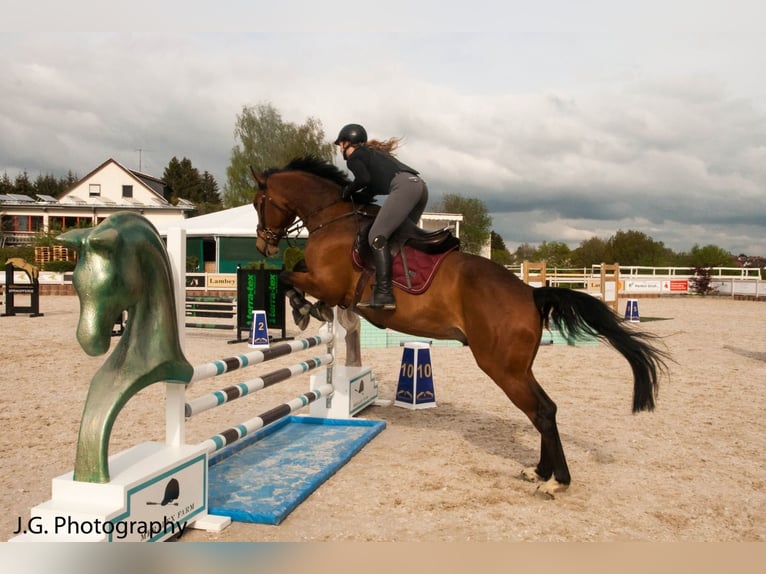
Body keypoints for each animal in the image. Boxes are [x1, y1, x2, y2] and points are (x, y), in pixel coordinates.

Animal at [250, 158, 664, 500]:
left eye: (259, 201)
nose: (263, 244)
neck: (332, 218)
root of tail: (530, 293)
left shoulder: (329, 282)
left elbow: (288, 277)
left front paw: (305, 308)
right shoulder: (325, 281)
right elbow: (294, 270)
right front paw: (311, 308)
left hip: (501, 367)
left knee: (543, 410)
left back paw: (555, 481)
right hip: (517, 367)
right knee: (545, 409)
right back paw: (540, 472)